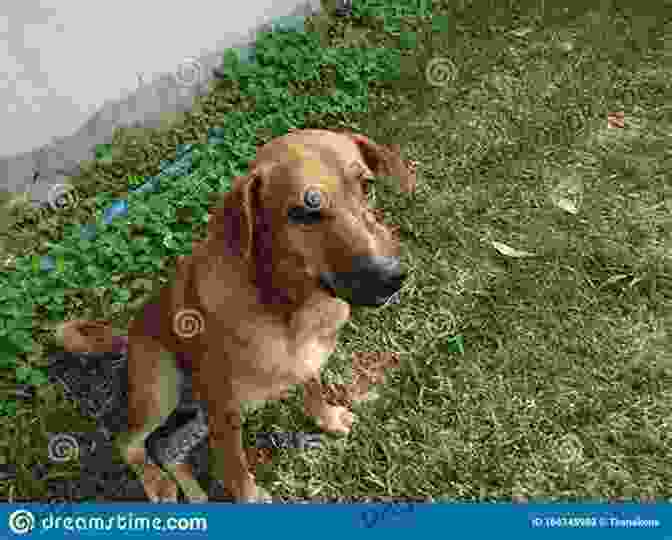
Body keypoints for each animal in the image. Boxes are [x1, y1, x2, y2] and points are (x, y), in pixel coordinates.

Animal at [59, 130, 414, 502]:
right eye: (303, 211)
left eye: (366, 185)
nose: (392, 276)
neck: (288, 306)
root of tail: (129, 333)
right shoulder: (223, 412)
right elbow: (235, 466)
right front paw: (250, 496)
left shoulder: (306, 362)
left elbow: (313, 389)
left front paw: (326, 417)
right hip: (162, 388)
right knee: (128, 442)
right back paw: (156, 482)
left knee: (168, 449)